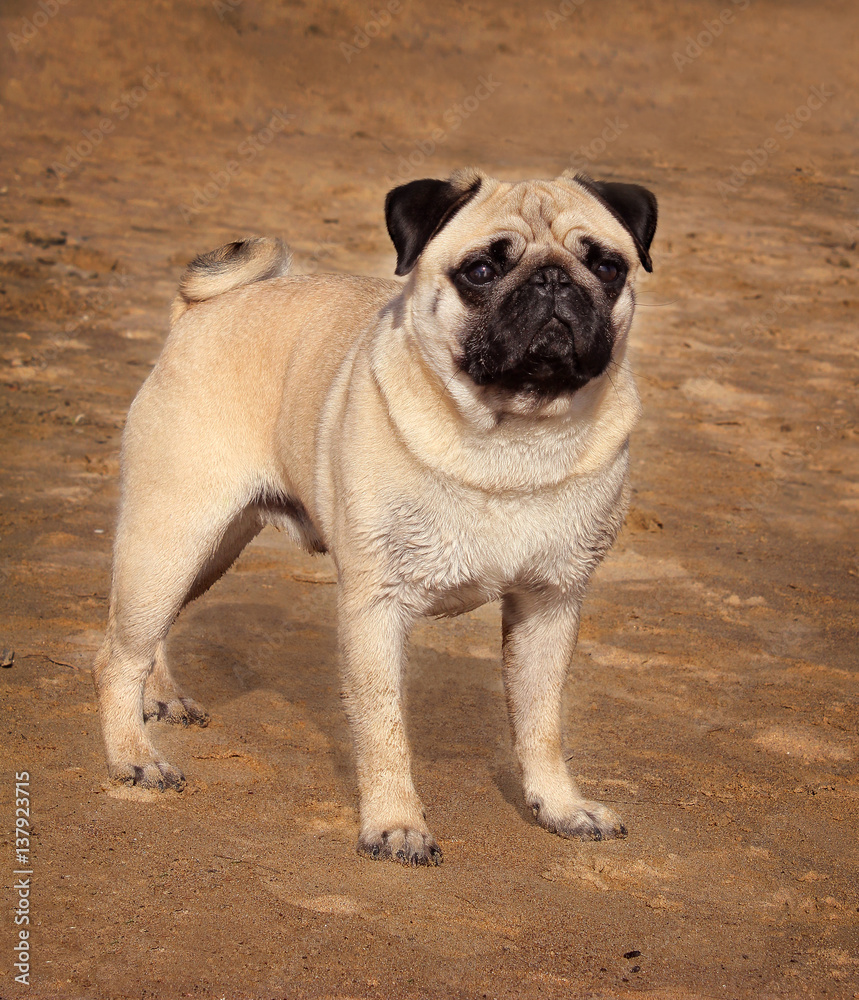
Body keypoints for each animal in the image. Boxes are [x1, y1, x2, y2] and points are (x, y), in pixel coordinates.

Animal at [94, 168, 660, 864]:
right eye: (480, 270)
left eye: (606, 266)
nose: (553, 280)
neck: (513, 439)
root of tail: (200, 314)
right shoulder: (376, 604)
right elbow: (384, 726)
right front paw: (395, 825)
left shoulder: (550, 604)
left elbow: (541, 723)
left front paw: (560, 806)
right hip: (172, 534)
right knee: (118, 653)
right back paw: (133, 756)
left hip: (206, 549)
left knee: (149, 632)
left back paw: (161, 697)